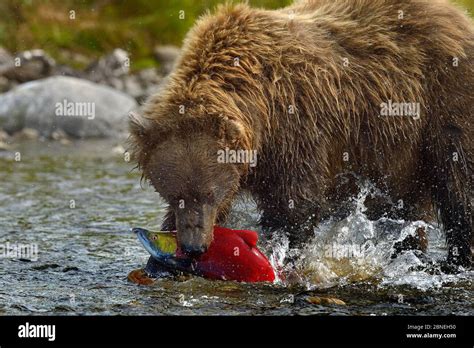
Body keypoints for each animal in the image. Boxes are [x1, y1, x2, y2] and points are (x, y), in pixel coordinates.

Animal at [128, 0, 472, 272]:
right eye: (174, 194)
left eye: (210, 193)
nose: (195, 246)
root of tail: (458, 15)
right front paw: (161, 256)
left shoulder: (297, 127)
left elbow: (296, 204)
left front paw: (284, 254)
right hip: (400, 152)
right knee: (405, 207)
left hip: (442, 103)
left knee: (459, 185)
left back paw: (456, 261)